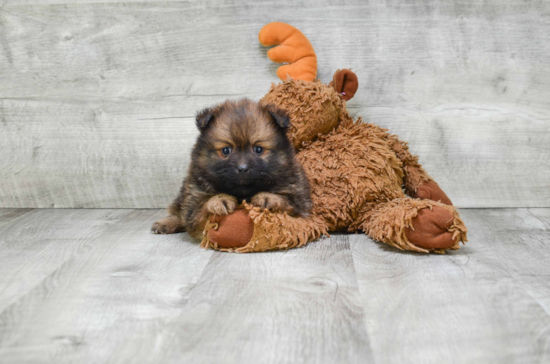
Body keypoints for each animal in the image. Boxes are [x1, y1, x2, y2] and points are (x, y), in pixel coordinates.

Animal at [153, 98, 312, 239]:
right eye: (226, 150)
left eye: (258, 149)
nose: (242, 168)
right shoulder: (194, 205)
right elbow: (201, 208)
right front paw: (219, 200)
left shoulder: (301, 206)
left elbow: (287, 203)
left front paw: (268, 197)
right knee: (178, 210)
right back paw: (166, 223)